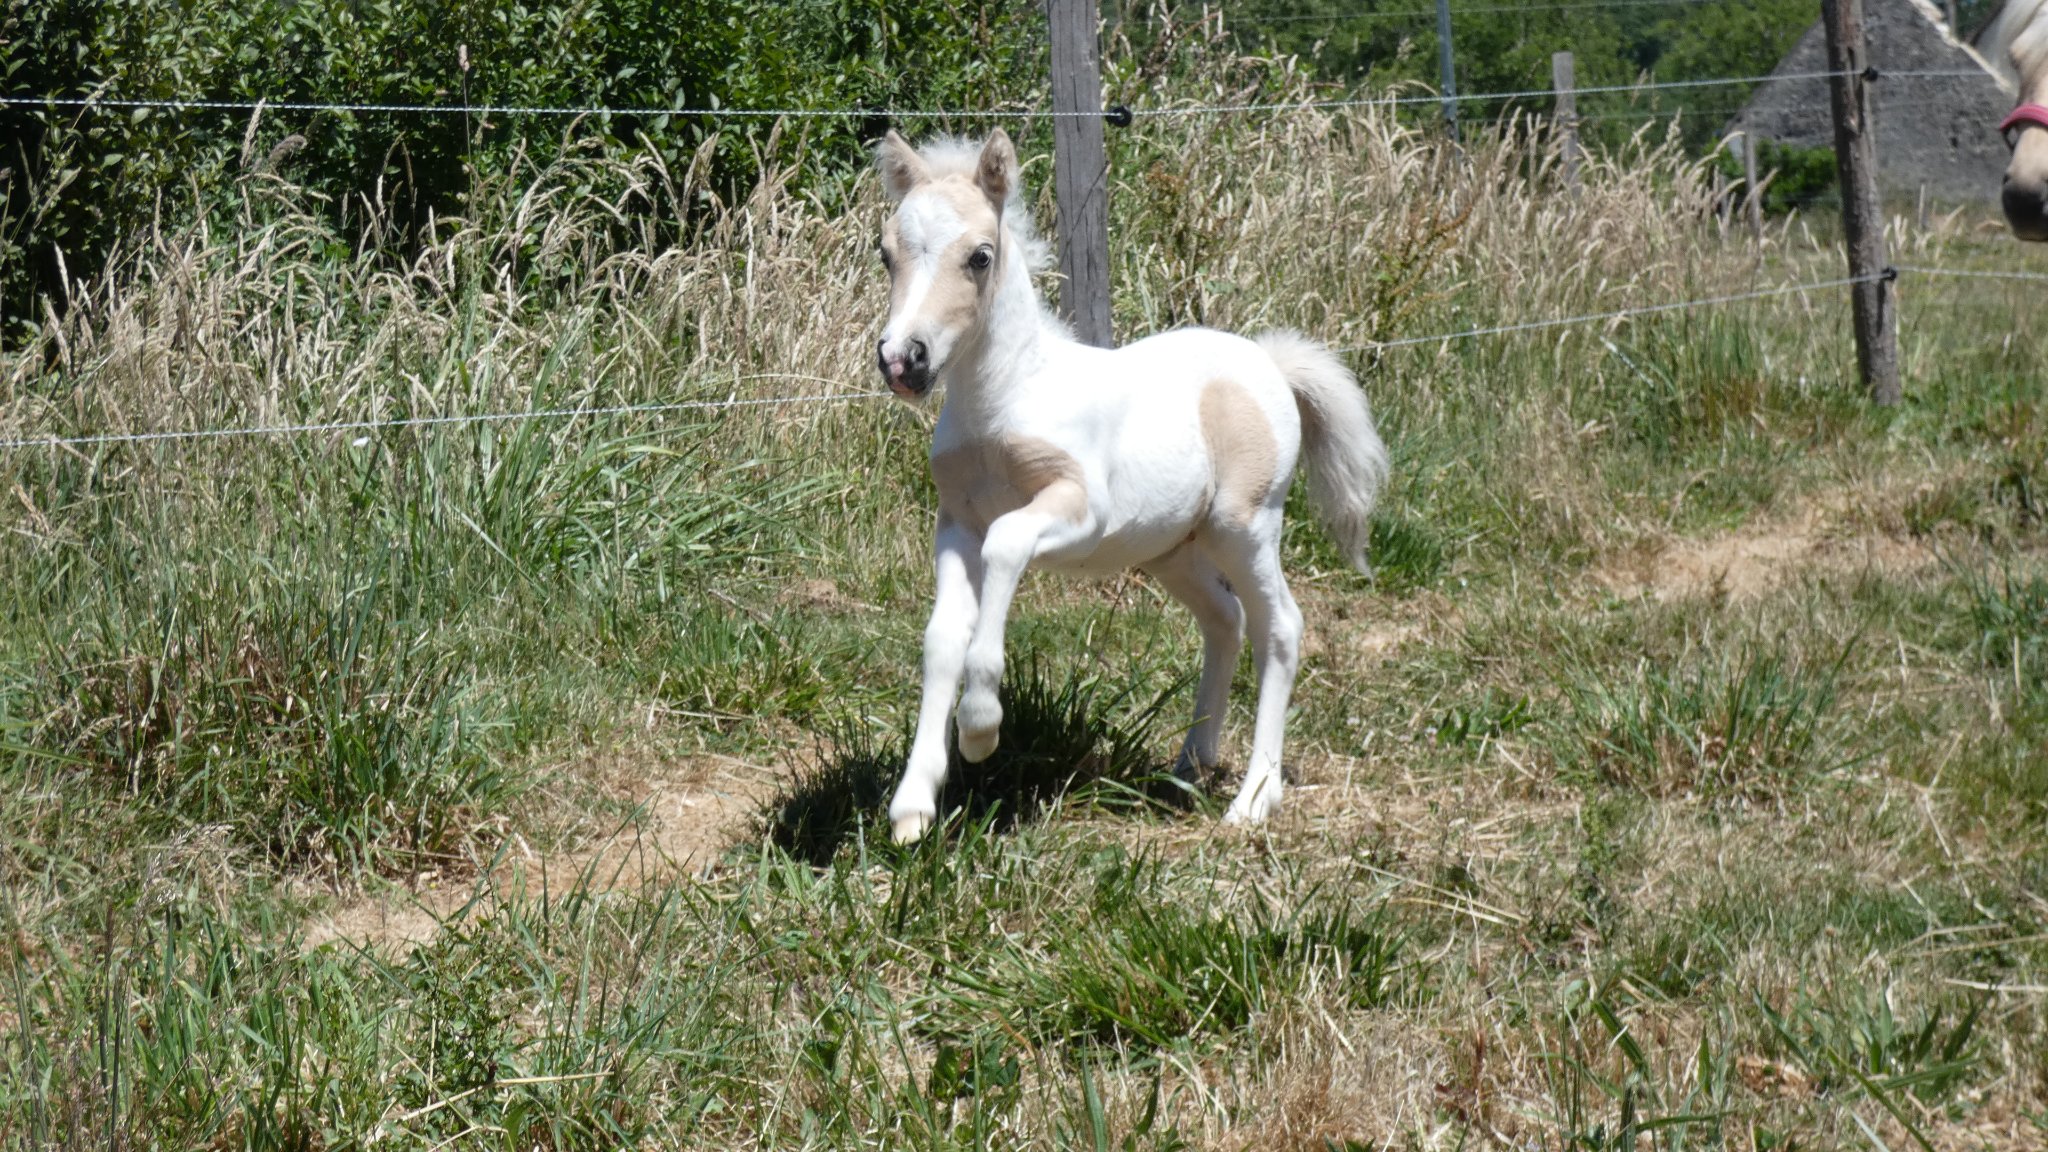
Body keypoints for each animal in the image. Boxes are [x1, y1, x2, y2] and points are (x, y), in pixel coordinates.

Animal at [872, 127, 1384, 844]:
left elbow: (1007, 543)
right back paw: (1190, 764)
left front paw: (979, 728)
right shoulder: (957, 524)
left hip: (1245, 526)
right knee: (1225, 619)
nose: (903, 360)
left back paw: (1254, 798)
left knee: (1279, 625)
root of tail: (1270, 364)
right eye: (885, 251)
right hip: (1171, 548)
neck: (1005, 398)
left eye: (979, 256)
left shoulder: (1079, 510)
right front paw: (913, 808)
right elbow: (942, 639)